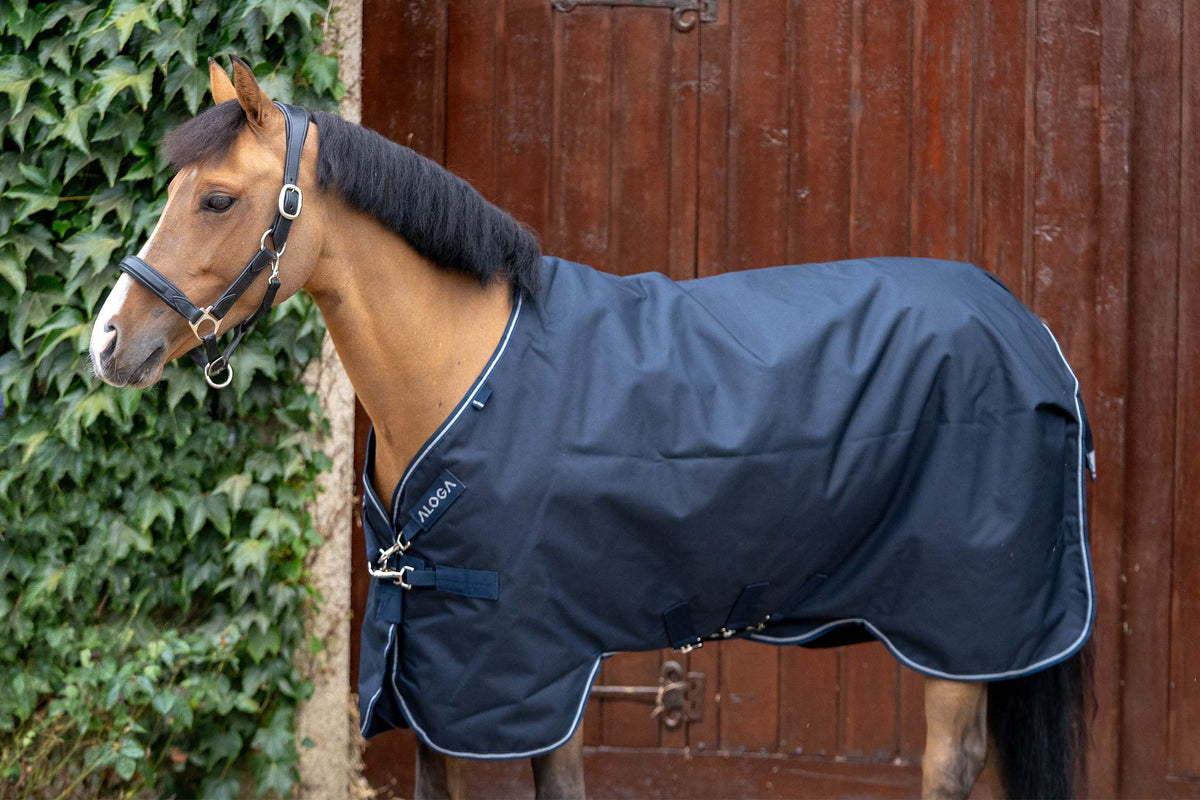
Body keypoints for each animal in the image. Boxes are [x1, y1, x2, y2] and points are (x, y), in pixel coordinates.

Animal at [90, 57, 1093, 800]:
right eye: (175, 188)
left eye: (217, 198)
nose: (106, 342)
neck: (465, 372)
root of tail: (1026, 328)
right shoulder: (434, 669)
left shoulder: (534, 665)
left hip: (961, 623)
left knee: (952, 764)